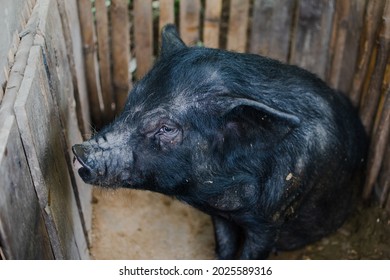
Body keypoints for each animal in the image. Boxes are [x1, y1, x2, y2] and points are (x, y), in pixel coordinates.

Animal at [71, 25, 368, 260]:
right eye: (131, 100)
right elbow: (223, 245)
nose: (79, 149)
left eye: (167, 128)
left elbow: (251, 254)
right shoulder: (220, 215)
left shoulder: (271, 220)